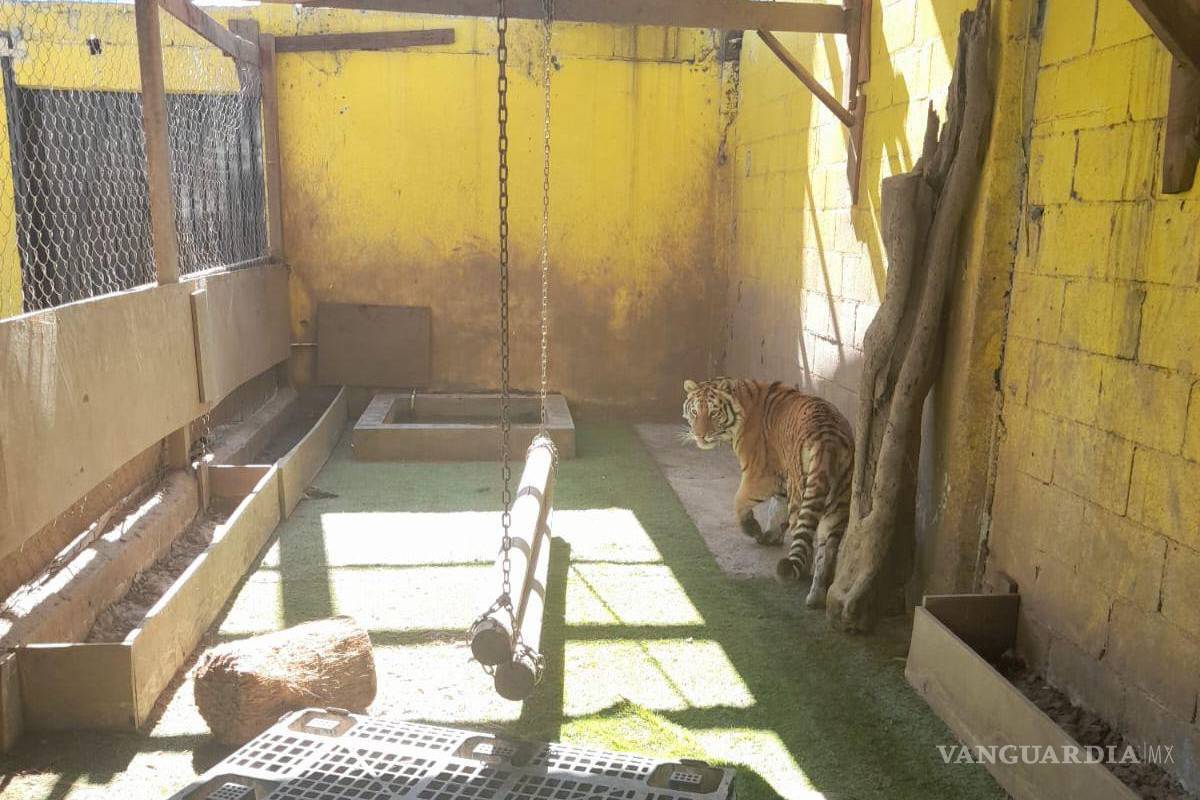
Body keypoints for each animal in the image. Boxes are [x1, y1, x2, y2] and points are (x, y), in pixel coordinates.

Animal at [682, 377, 854, 609]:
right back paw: (817, 596)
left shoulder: (760, 476)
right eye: (694, 412)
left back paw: (801, 576)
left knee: (806, 540)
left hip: (801, 495)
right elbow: (776, 510)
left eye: (713, 413)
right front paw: (770, 536)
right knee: (826, 550)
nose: (699, 435)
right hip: (836, 505)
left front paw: (753, 529)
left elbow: (739, 501)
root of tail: (828, 440)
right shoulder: (781, 481)